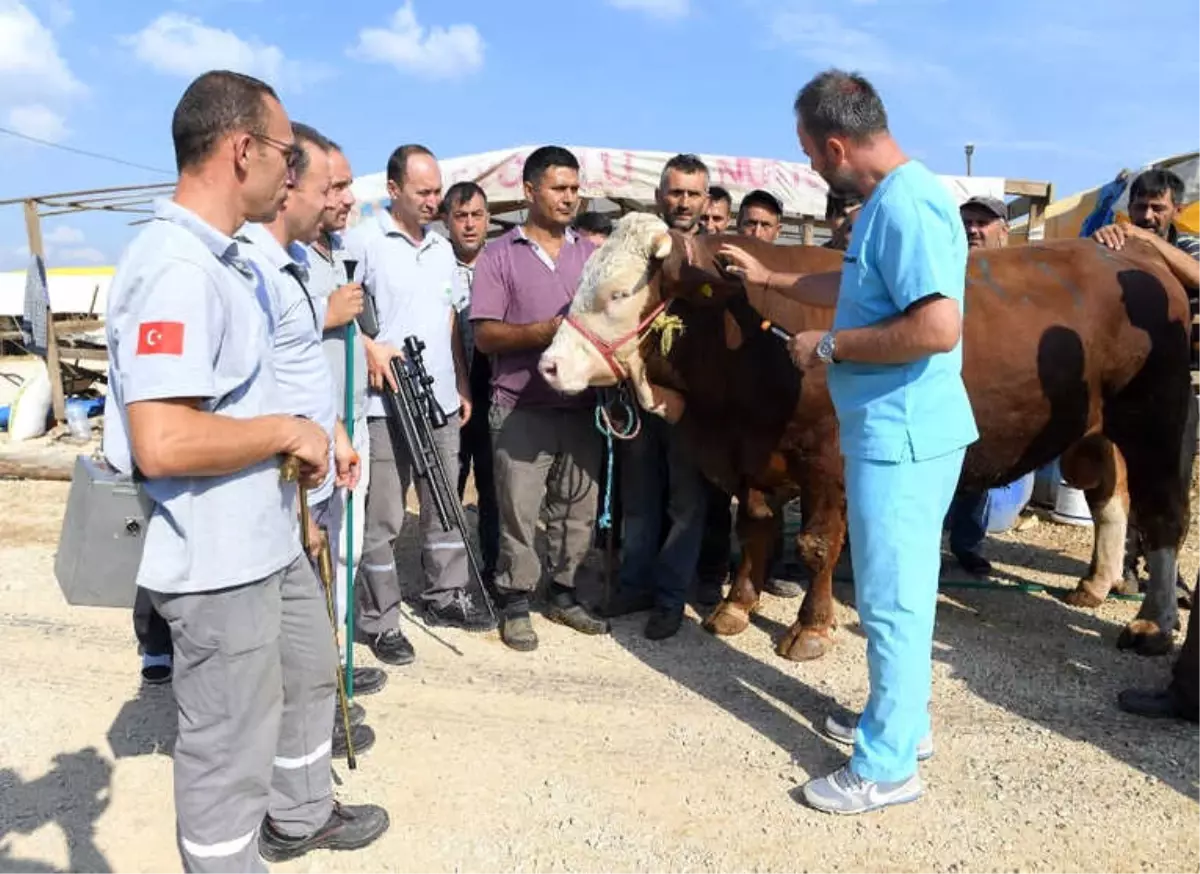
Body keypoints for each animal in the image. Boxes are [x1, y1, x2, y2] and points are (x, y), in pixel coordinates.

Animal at [542, 213, 1190, 662]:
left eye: (618, 294)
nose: (549, 365)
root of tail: (1133, 254)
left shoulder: (828, 460)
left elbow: (817, 545)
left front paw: (809, 628)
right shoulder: (754, 457)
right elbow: (755, 528)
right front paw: (735, 606)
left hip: (1159, 418)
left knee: (1163, 515)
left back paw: (1154, 623)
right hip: (1096, 434)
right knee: (1110, 501)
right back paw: (1096, 583)